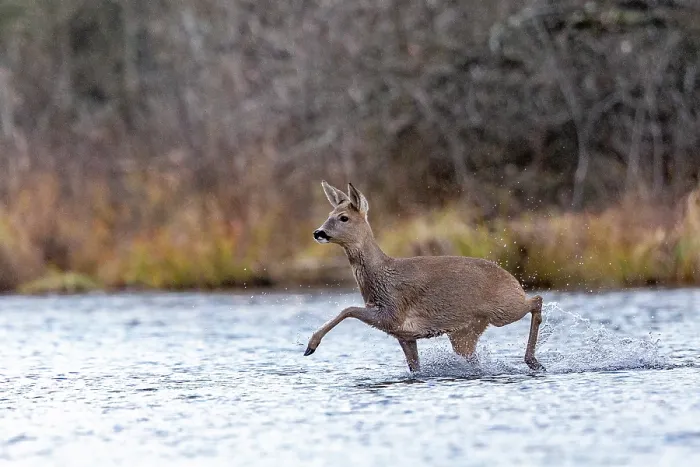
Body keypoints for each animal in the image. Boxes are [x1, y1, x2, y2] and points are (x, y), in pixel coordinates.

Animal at [303, 181, 545, 372]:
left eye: (343, 217)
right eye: (329, 216)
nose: (318, 232)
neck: (381, 275)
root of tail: (513, 280)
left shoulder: (392, 313)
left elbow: (348, 309)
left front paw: (311, 345)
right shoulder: (404, 335)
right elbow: (414, 367)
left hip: (503, 309)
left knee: (536, 300)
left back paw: (533, 361)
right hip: (466, 332)